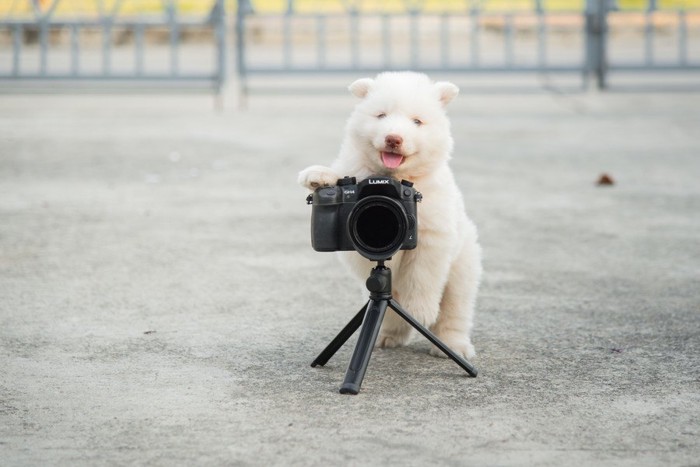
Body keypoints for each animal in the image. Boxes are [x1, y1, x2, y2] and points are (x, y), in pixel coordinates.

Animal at [296, 72, 482, 358]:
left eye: (417, 121)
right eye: (381, 115)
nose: (394, 138)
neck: (391, 178)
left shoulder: (433, 230)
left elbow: (422, 273)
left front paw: (418, 310)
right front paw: (317, 176)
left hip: (463, 264)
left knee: (455, 308)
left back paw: (453, 345)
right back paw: (387, 335)